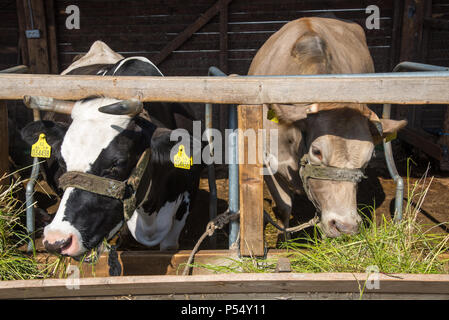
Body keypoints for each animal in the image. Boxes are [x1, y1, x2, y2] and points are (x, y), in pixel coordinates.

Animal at [248, 17, 406, 238]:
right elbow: (283, 208)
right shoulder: (268, 164)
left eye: (367, 159)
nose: (345, 227)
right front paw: (286, 241)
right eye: (317, 151)